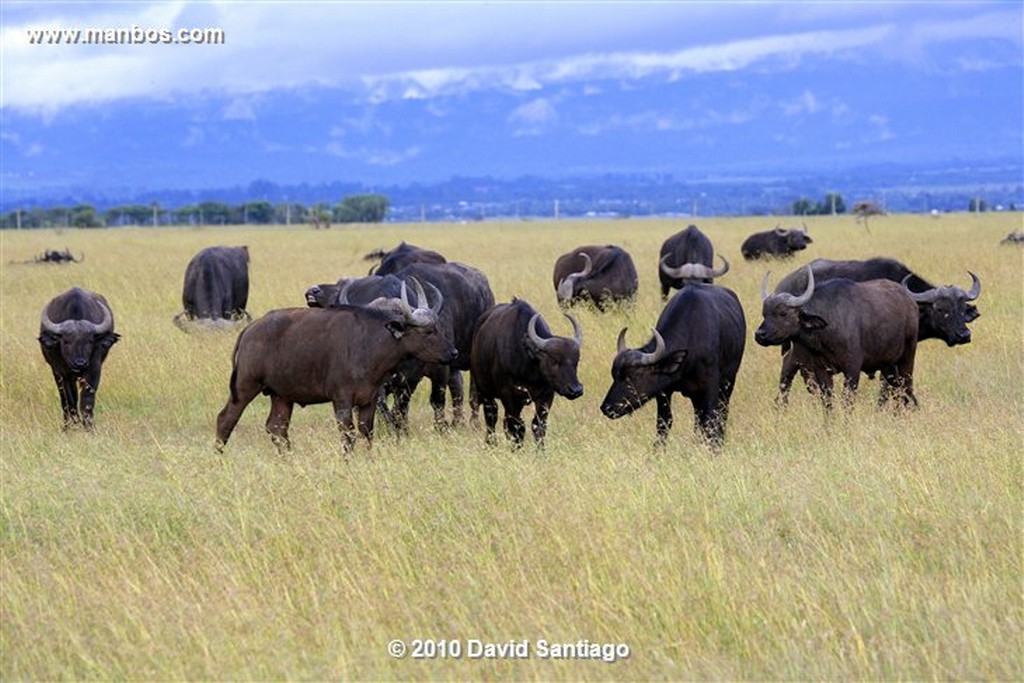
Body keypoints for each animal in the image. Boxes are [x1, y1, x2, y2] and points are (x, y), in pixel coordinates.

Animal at [38, 286, 119, 430]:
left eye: (90, 341)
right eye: (66, 341)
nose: (79, 363)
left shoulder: (94, 369)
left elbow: (87, 400)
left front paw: (89, 427)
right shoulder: (61, 372)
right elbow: (69, 401)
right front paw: (70, 427)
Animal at [216, 280, 456, 450]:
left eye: (439, 326)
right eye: (428, 331)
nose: (453, 352)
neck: (369, 344)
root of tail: (249, 331)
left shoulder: (369, 400)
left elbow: (367, 433)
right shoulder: (341, 401)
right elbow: (348, 436)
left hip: (281, 395)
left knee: (277, 428)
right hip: (244, 387)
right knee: (226, 419)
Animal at [471, 296, 585, 446]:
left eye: (576, 361)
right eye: (554, 361)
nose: (576, 390)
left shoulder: (546, 395)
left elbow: (538, 425)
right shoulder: (509, 394)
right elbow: (516, 426)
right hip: (483, 389)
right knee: (492, 414)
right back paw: (491, 443)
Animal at [598, 282, 745, 448]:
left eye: (634, 377)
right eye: (614, 375)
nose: (606, 408)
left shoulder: (710, 388)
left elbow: (711, 421)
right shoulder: (664, 392)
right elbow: (664, 422)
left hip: (728, 383)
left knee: (722, 414)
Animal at [753, 266, 921, 409]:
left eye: (783, 313)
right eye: (764, 313)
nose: (759, 334)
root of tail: (911, 302)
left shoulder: (852, 370)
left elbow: (847, 402)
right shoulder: (821, 370)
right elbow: (827, 402)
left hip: (907, 358)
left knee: (906, 386)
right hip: (888, 365)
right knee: (898, 388)